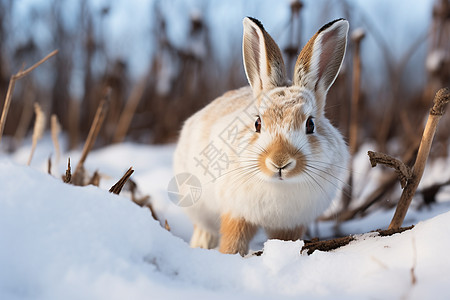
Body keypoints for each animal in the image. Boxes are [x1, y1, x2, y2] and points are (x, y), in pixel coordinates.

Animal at [174, 17, 350, 255]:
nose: (279, 162)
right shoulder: (237, 213)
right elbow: (233, 240)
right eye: (257, 123)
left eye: (310, 124)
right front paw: (230, 256)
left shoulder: (291, 225)